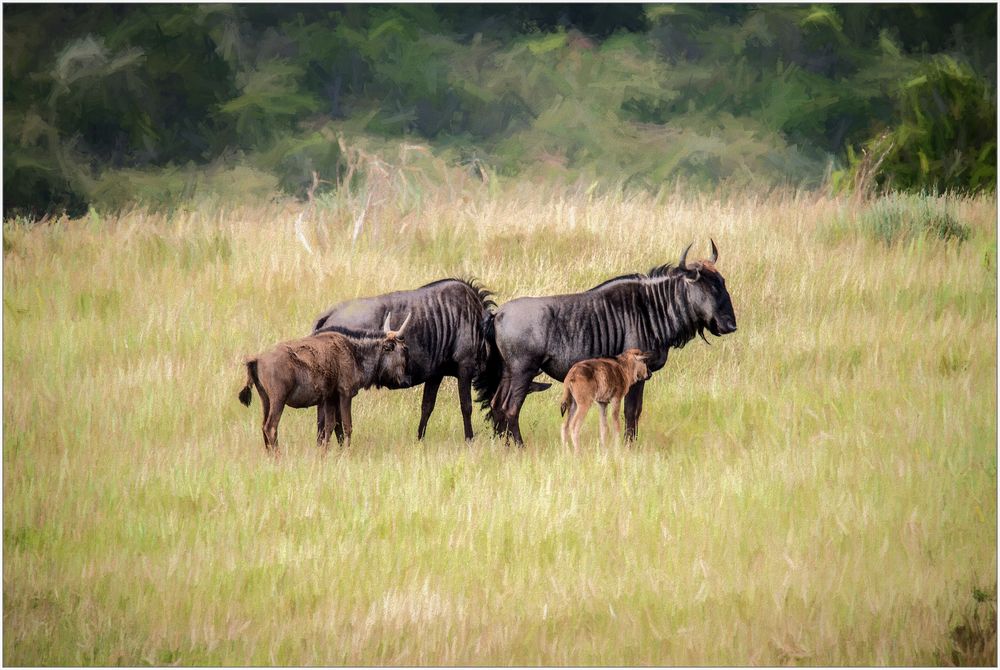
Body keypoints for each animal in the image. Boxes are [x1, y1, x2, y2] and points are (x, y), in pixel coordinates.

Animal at [238, 312, 410, 454]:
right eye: (402, 349)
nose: (404, 379)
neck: (354, 353)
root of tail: (257, 359)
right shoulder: (345, 394)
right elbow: (346, 426)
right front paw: (346, 454)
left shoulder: (329, 399)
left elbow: (330, 427)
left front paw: (326, 454)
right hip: (278, 400)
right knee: (271, 427)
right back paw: (277, 456)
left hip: (265, 400)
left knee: (263, 426)